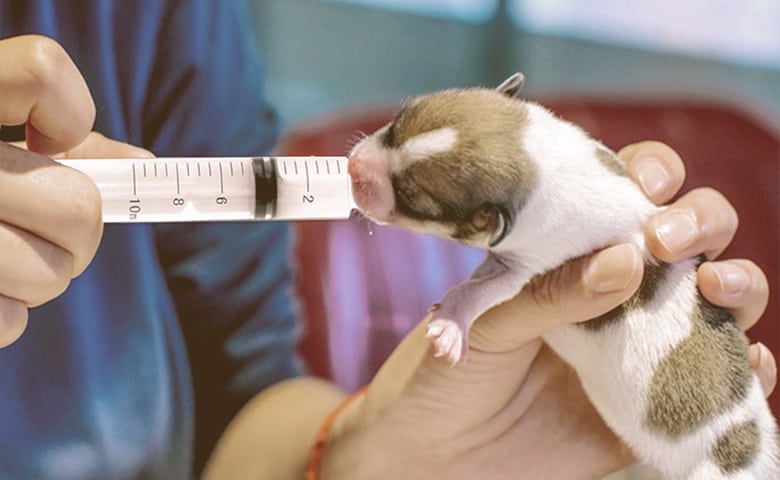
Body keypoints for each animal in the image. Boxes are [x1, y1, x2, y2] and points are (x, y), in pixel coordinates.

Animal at [348, 73, 780, 478]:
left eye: (410, 192)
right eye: (395, 122)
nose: (353, 166)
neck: (539, 159)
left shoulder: (527, 262)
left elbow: (482, 290)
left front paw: (452, 323)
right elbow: (482, 274)